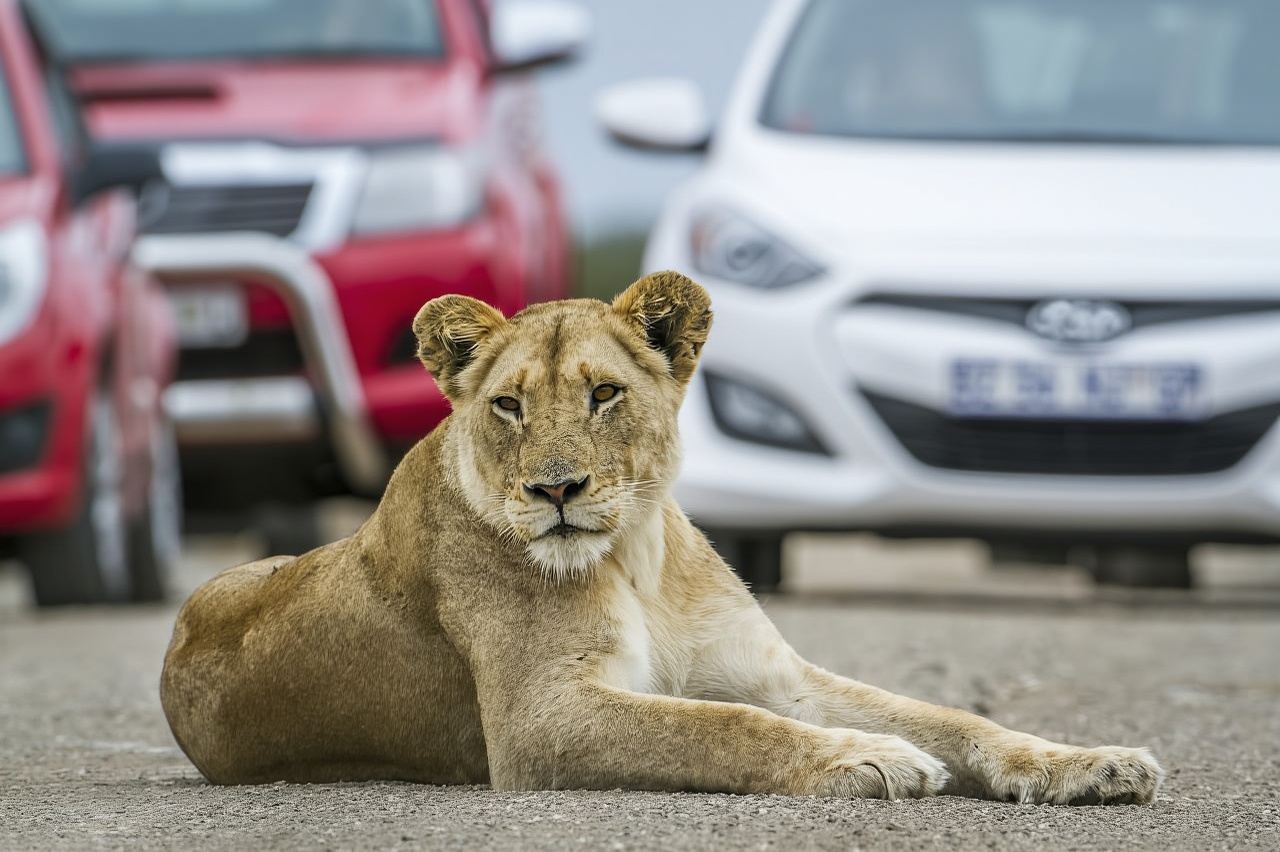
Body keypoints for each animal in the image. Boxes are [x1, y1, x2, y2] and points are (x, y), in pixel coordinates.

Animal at [160, 272, 1163, 803]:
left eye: (604, 394)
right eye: (509, 406)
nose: (556, 489)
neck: (635, 555)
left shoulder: (777, 675)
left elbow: (952, 717)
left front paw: (1091, 762)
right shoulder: (539, 723)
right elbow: (722, 728)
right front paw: (864, 757)